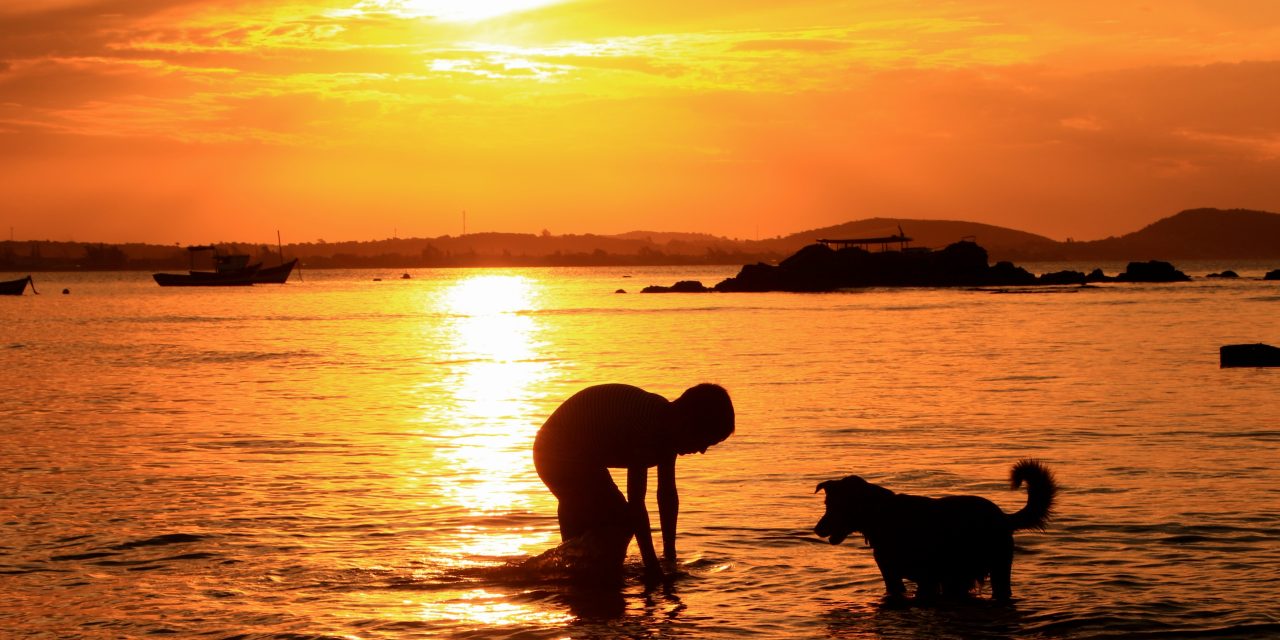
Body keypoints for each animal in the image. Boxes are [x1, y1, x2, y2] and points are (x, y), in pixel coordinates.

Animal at [814, 460, 1054, 599]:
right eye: (826, 504)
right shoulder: (895, 577)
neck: (881, 514)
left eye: (834, 506)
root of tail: (1003, 517)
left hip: (995, 568)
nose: (817, 529)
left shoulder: (924, 579)